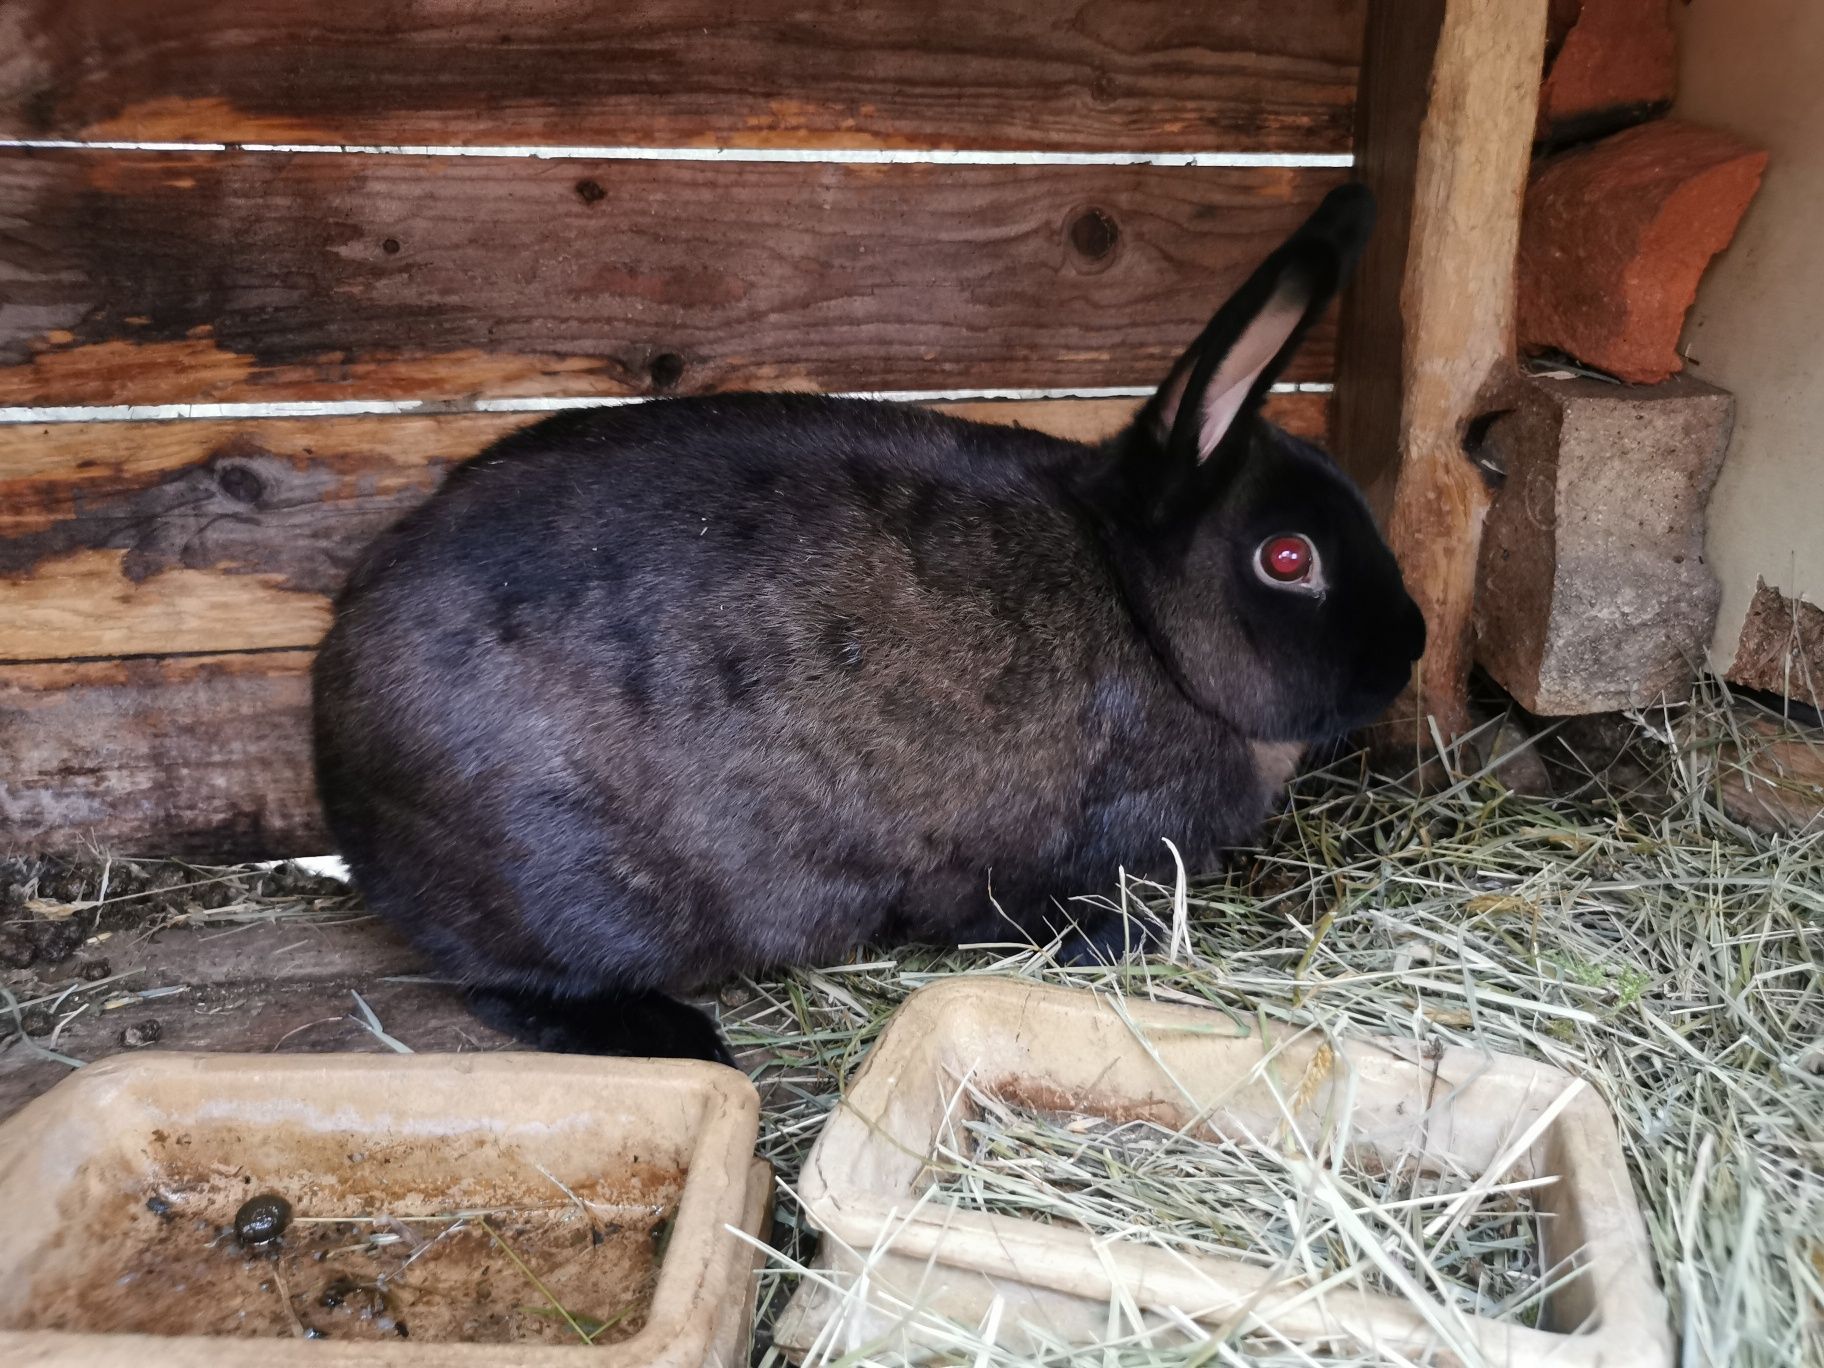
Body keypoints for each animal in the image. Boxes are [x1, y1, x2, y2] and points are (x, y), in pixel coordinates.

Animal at [310, 185, 1422, 1057]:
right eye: (1289, 558)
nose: (1409, 649)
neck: (1143, 612)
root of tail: (327, 714)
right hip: (571, 894)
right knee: (507, 981)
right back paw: (670, 1034)